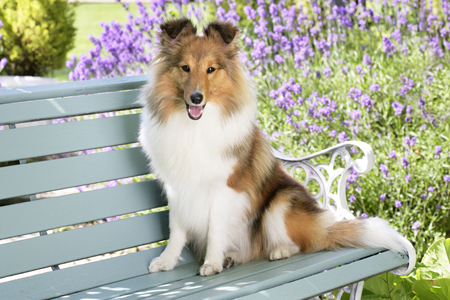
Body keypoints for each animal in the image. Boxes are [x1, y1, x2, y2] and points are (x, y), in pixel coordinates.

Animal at [138, 17, 414, 276]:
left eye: (211, 69)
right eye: (185, 68)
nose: (196, 98)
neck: (195, 126)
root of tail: (323, 226)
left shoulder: (225, 188)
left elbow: (216, 229)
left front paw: (212, 263)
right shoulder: (177, 187)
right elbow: (176, 230)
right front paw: (166, 261)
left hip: (280, 204)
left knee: (302, 244)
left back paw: (278, 251)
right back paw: (233, 256)